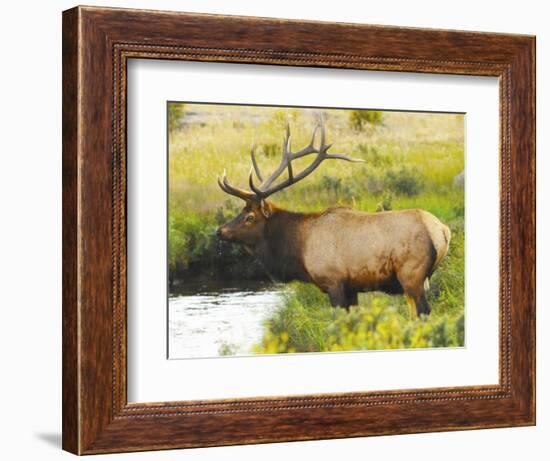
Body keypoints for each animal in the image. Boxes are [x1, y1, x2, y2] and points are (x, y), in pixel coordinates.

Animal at [217, 115, 452, 318]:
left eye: (250, 217)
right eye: (240, 212)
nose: (219, 231)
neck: (298, 249)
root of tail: (443, 231)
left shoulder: (334, 281)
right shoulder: (352, 287)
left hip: (412, 274)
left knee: (423, 312)